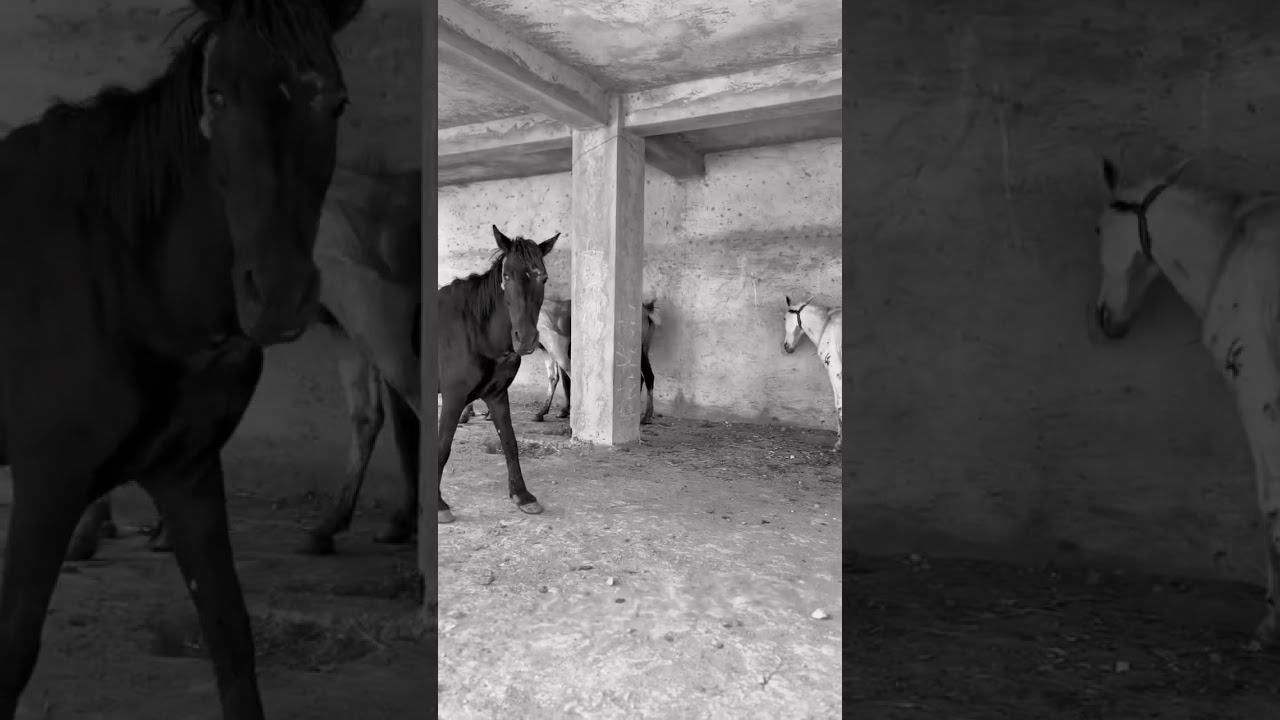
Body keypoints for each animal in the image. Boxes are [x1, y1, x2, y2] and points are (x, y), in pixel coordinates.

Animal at [0, 1, 363, 717]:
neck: (124, 273)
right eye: (216, 96)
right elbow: (14, 652)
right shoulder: (48, 481)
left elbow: (231, 638)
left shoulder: (188, 474)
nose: (278, 295)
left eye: (333, 103)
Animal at [438, 226, 558, 524]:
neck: (475, 331)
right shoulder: (453, 397)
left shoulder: (497, 395)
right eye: (506, 276)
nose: (525, 339)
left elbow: (510, 444)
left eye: (543, 277)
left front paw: (522, 495)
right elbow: (443, 446)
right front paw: (438, 504)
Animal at [783, 295, 843, 451]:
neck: (826, 324)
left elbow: (838, 404)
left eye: (784, 318)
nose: (787, 347)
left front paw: (840, 443)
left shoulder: (835, 369)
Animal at [1093, 156, 1280, 651]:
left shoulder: (1258, 391)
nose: (1105, 319)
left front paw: (1273, 622)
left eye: (1099, 228)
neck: (1230, 251)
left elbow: (1270, 500)